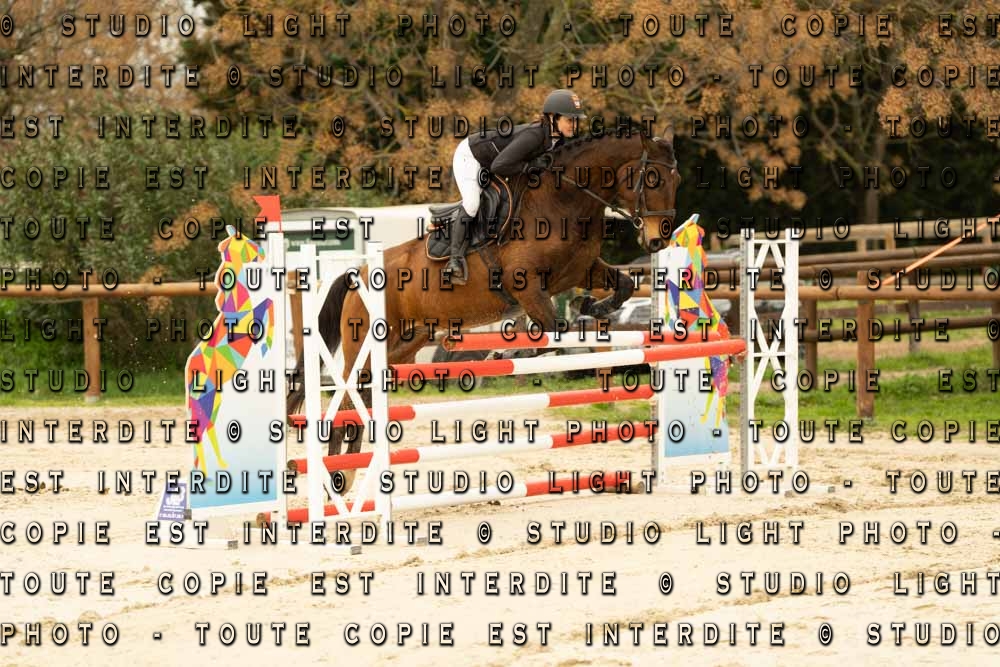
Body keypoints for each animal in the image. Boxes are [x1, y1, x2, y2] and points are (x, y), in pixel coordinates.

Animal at [289, 128, 681, 493]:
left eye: (675, 179)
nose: (658, 240)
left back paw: (346, 473)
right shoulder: (527, 286)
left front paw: (591, 305)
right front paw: (504, 353)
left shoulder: (580, 270)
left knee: (361, 397)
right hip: (366, 344)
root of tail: (358, 273)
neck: (563, 201)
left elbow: (621, 287)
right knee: (346, 396)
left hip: (402, 344)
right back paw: (338, 477)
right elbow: (553, 329)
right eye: (652, 177)